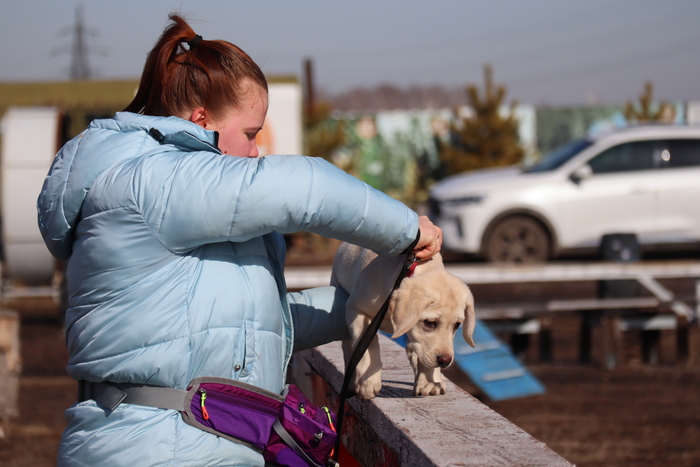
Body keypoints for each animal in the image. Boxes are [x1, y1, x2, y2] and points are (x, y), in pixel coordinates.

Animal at [331, 242, 475, 400]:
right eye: (430, 323)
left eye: (457, 325)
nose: (445, 361)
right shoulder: (356, 309)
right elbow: (369, 344)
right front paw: (368, 381)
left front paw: (429, 381)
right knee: (348, 348)